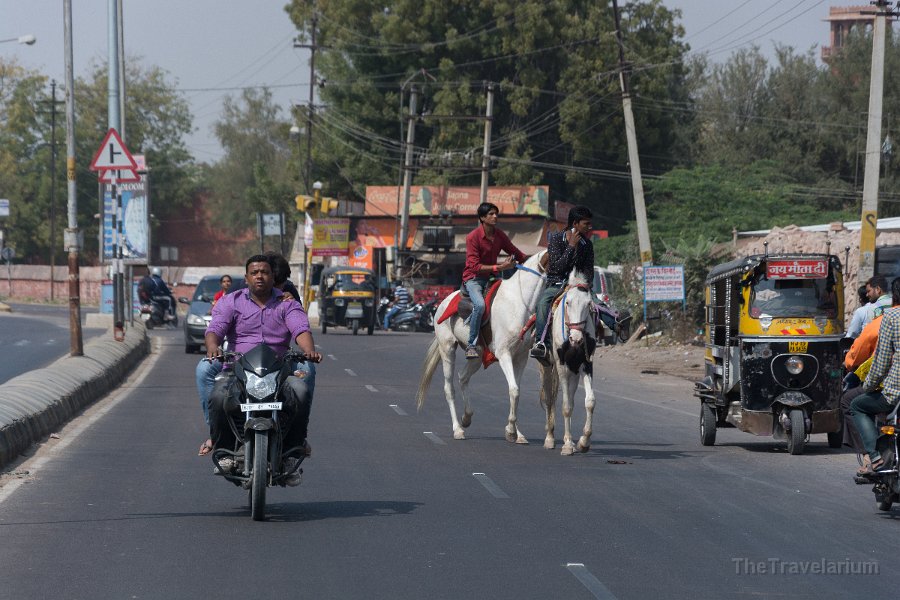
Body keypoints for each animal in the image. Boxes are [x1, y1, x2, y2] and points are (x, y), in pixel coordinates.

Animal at [416, 251, 548, 442]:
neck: (519, 303)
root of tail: (442, 303)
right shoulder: (504, 353)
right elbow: (514, 390)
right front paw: (511, 431)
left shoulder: (521, 357)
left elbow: (516, 390)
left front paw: (517, 433)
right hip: (447, 348)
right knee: (449, 388)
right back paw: (457, 429)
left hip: (477, 356)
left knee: (463, 377)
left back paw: (466, 417)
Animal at [536, 272, 600, 454]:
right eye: (568, 303)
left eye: (588, 304)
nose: (576, 339)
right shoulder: (562, 365)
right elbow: (565, 406)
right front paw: (566, 447)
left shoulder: (586, 363)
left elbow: (589, 402)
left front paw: (583, 442)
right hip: (547, 366)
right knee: (550, 397)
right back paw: (550, 438)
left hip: (574, 370)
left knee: (570, 397)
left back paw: (569, 439)